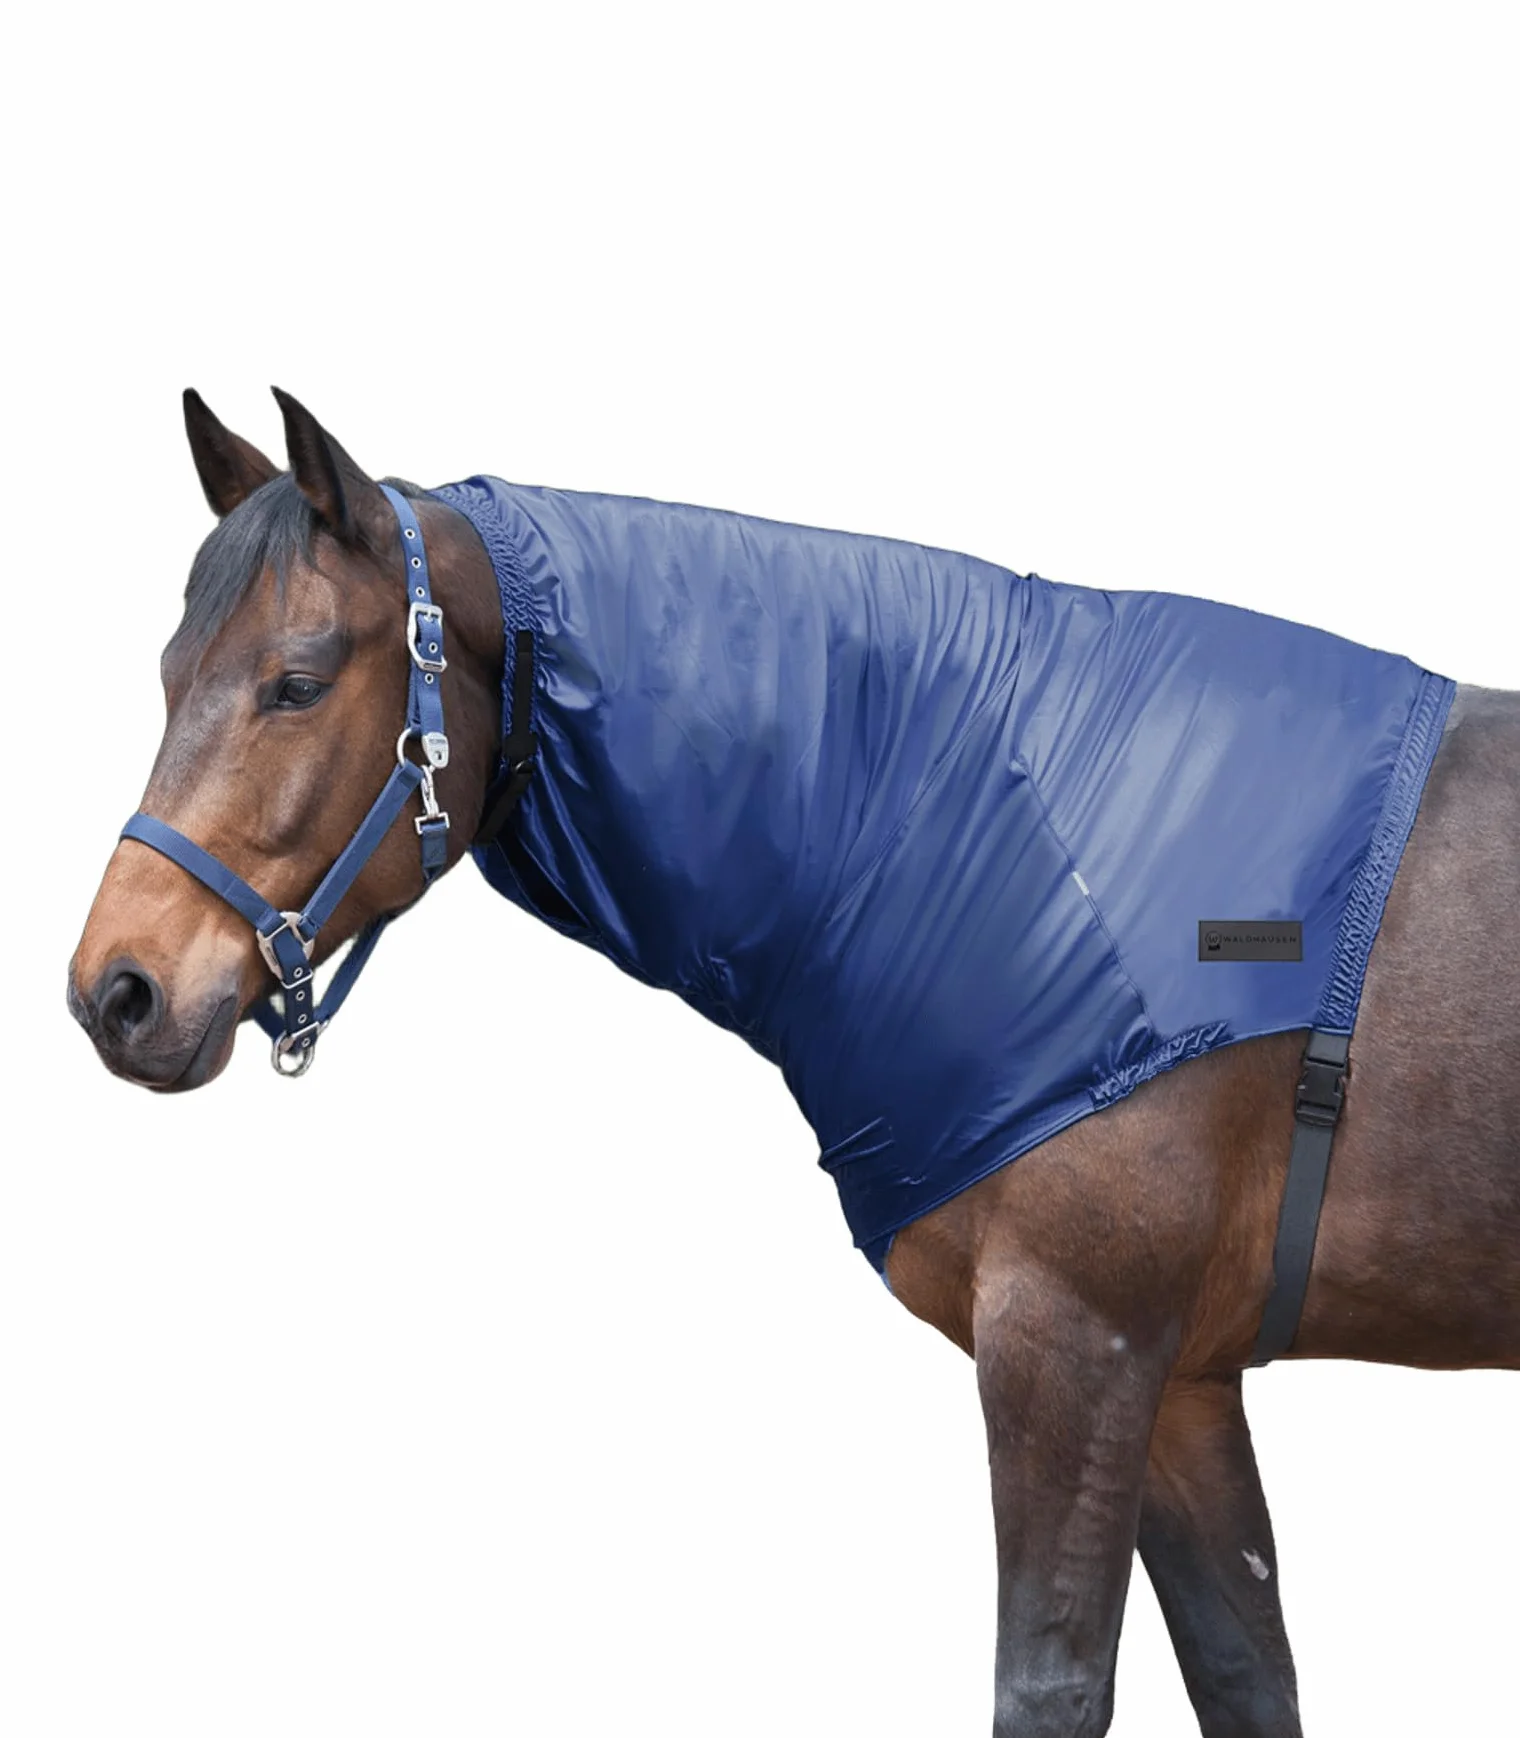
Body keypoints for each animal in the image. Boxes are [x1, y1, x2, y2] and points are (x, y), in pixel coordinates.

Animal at [68, 389, 1519, 1738]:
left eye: (299, 680)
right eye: (169, 670)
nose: (116, 990)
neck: (1000, 813)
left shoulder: (1077, 1342)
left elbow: (1050, 1684)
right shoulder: (1184, 1382)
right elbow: (1245, 1673)